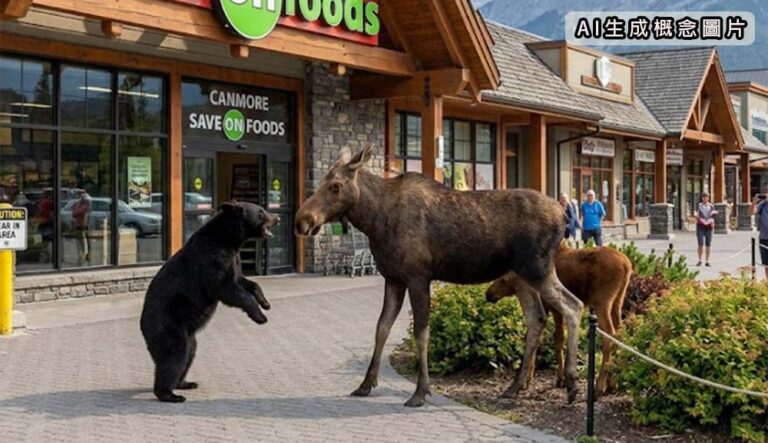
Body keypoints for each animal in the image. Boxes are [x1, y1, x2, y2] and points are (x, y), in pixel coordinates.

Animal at [140, 201, 277, 403]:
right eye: (261, 212)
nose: (277, 218)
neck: (229, 240)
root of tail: (143, 326)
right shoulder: (212, 260)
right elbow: (226, 288)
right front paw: (260, 316)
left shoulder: (234, 260)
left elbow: (245, 281)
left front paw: (265, 303)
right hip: (168, 325)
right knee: (174, 355)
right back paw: (169, 394)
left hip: (188, 336)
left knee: (188, 354)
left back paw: (185, 383)